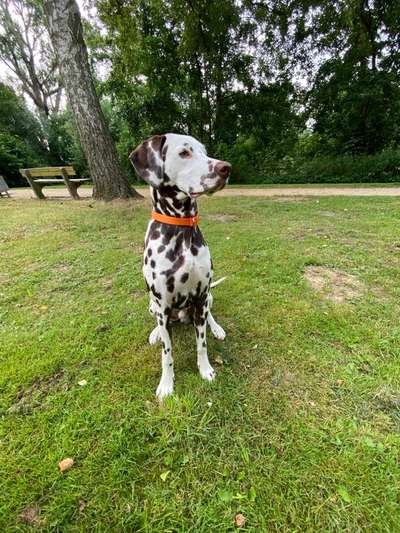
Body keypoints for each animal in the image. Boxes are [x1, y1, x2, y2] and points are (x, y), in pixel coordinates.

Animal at [130, 133, 231, 400]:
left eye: (205, 151)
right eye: (184, 152)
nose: (226, 168)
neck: (180, 229)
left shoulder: (201, 296)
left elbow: (202, 344)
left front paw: (205, 370)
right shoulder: (163, 305)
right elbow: (167, 354)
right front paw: (167, 384)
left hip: (207, 299)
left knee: (210, 315)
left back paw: (217, 328)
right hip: (153, 305)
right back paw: (155, 333)